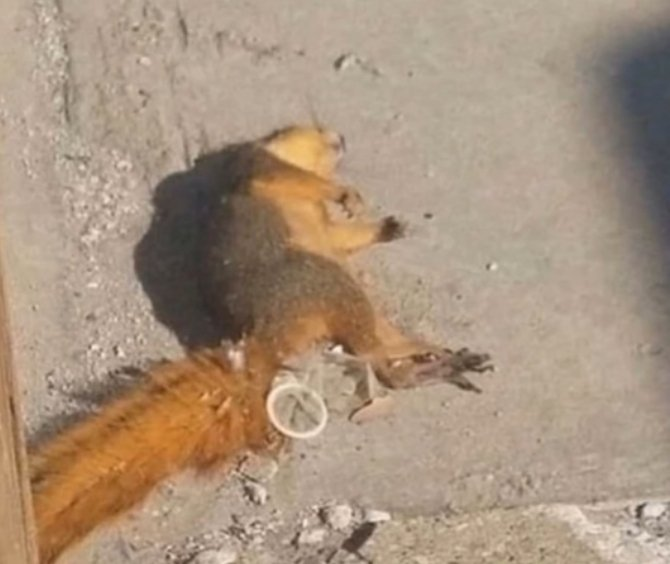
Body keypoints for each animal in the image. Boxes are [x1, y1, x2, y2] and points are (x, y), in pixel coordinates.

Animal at [30, 125, 491, 563]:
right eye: (308, 127)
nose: (341, 138)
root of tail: (267, 339)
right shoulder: (259, 167)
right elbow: (301, 181)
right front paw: (348, 195)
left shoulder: (325, 228)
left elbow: (343, 234)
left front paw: (388, 226)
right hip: (326, 282)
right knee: (373, 356)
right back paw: (438, 363)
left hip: (352, 297)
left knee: (383, 358)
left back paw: (443, 359)